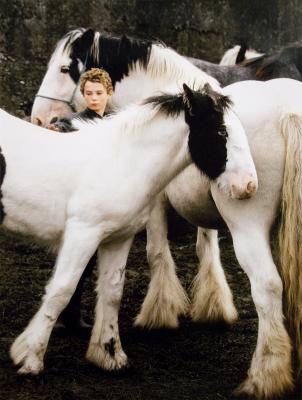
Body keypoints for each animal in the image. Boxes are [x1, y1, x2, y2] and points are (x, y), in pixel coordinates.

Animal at [2, 84, 258, 376]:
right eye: (221, 132)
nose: (248, 186)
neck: (121, 162)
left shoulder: (118, 238)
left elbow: (112, 291)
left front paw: (109, 354)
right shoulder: (82, 234)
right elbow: (61, 290)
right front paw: (30, 358)